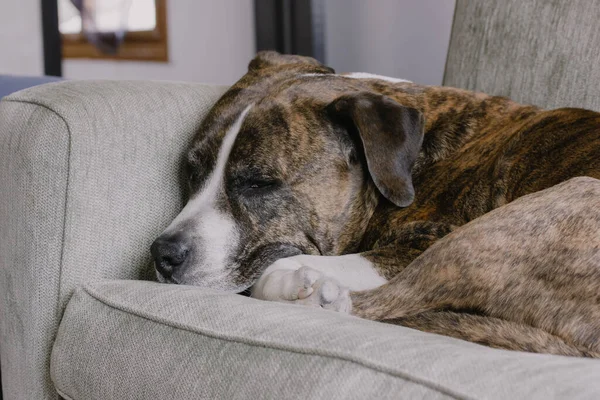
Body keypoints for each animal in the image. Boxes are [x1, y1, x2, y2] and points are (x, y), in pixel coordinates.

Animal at [150, 51, 600, 354]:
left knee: (372, 304)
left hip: (494, 235)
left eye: (258, 184)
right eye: (192, 172)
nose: (162, 254)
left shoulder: (428, 241)